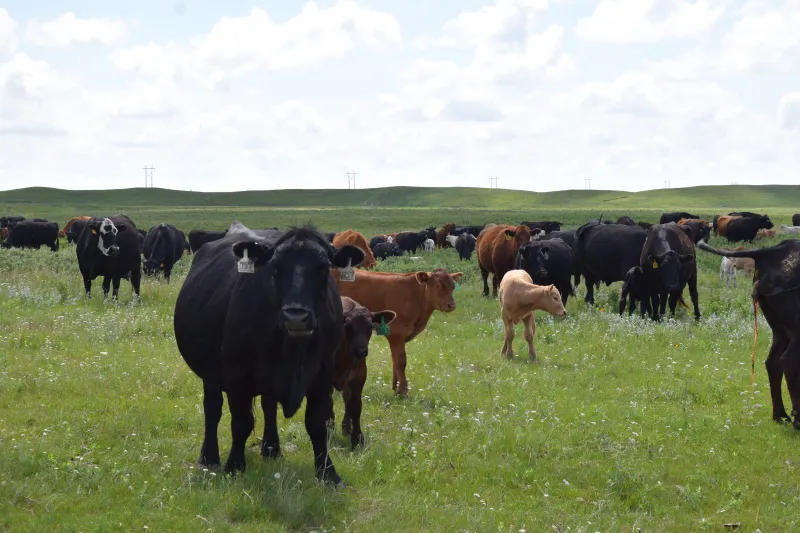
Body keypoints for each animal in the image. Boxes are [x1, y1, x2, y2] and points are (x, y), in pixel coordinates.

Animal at [173, 222, 365, 483]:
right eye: (275, 268)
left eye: (324, 268)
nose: (296, 316)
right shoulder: (236, 375)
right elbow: (241, 422)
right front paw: (234, 465)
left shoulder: (323, 373)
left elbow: (317, 423)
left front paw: (328, 473)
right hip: (210, 373)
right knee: (212, 409)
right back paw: (209, 457)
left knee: (268, 406)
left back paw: (272, 448)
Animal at [328, 297, 396, 448]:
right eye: (347, 326)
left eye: (370, 327)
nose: (361, 351)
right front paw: (328, 430)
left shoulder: (359, 376)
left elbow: (355, 406)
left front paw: (357, 438)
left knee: (347, 400)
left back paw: (346, 427)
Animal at [333, 267, 462, 397]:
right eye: (437, 286)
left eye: (452, 286)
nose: (451, 305)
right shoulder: (396, 333)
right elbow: (401, 362)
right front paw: (404, 392)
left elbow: (395, 361)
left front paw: (396, 389)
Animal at [697, 239, 800, 429]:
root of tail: (772, 251)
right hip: (796, 330)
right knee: (788, 361)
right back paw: (797, 420)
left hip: (780, 330)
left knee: (773, 362)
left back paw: (780, 415)